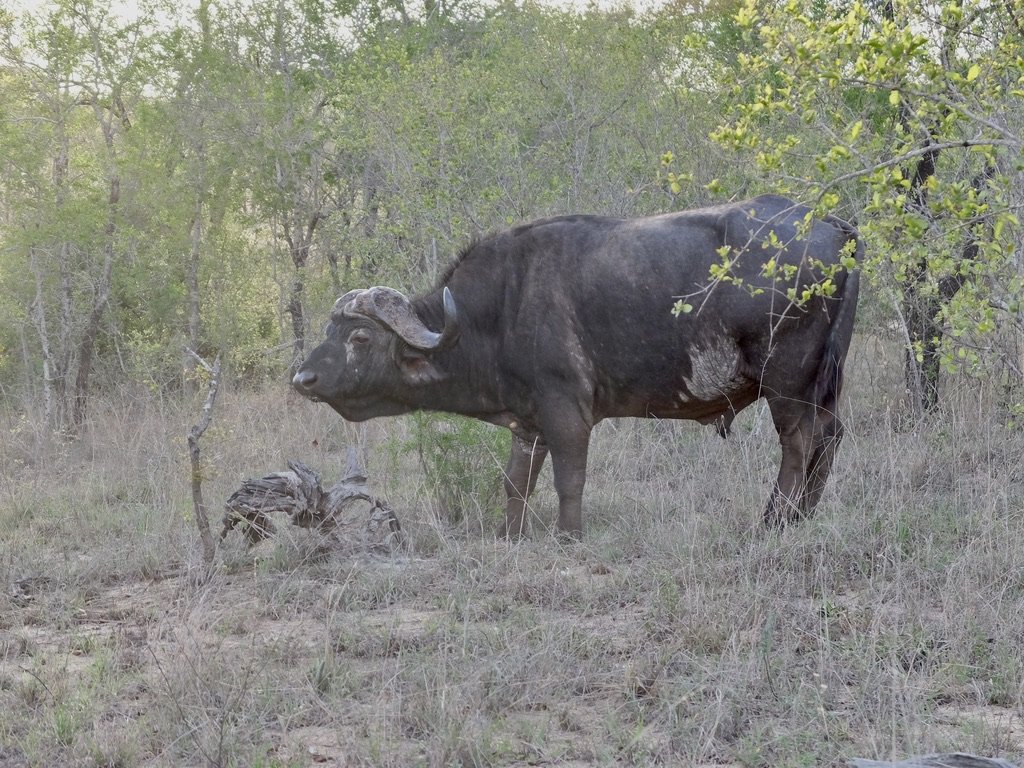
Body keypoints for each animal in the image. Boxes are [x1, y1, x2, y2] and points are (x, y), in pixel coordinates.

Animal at [293, 194, 860, 539]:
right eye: (330, 332)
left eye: (360, 337)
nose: (303, 378)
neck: (500, 309)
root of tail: (832, 226)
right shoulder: (529, 423)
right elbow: (516, 482)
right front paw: (511, 535)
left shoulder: (567, 413)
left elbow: (570, 479)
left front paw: (569, 536)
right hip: (824, 384)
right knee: (830, 437)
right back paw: (803, 517)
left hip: (787, 383)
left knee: (799, 446)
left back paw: (776, 521)